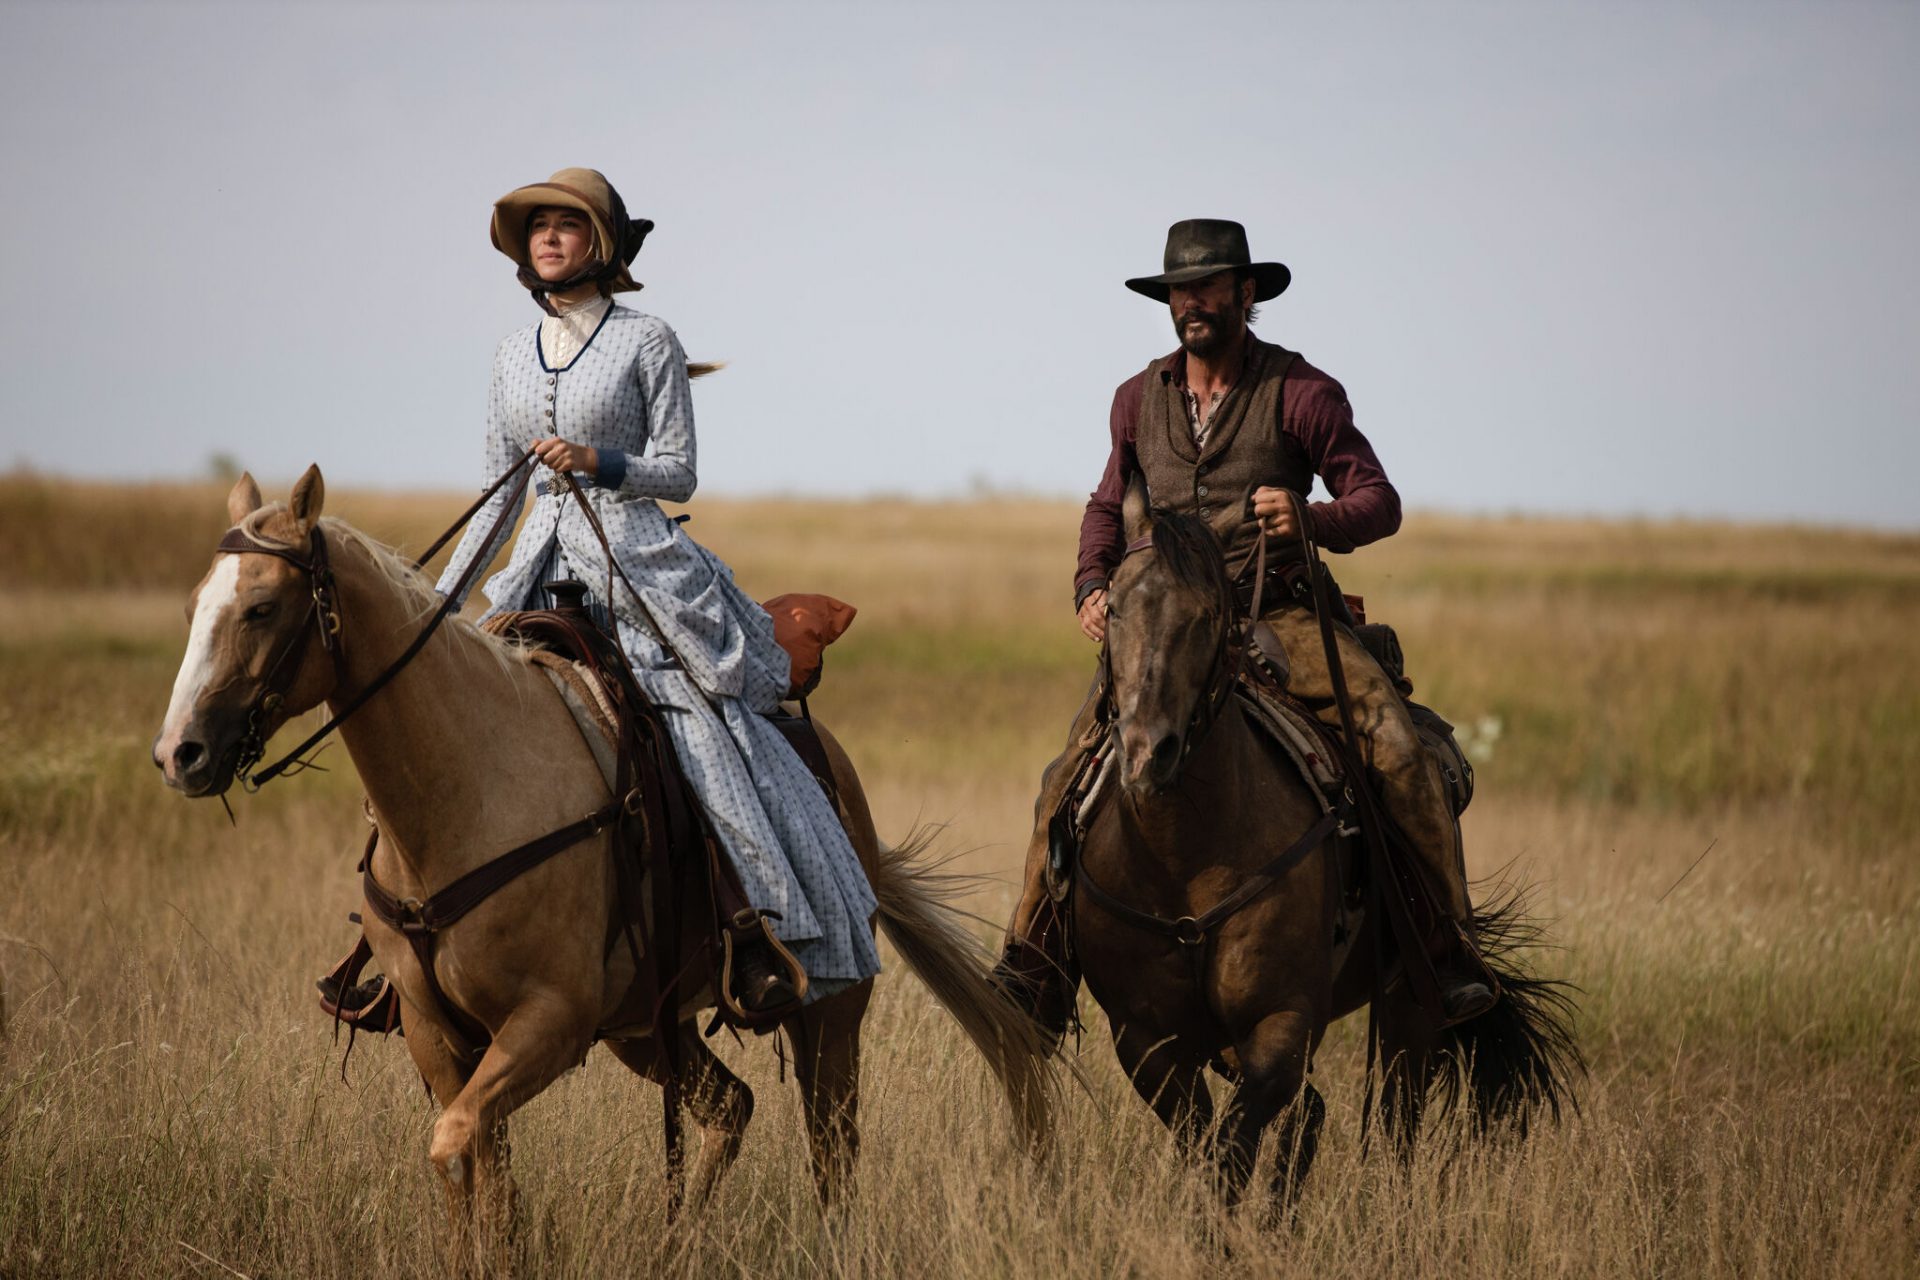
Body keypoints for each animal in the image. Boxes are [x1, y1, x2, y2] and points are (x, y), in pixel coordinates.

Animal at [153, 470, 1052, 1258]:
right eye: (195, 607)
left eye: (262, 607)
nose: (179, 754)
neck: (462, 795)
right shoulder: (437, 1035)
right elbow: (478, 1170)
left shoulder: (550, 1021)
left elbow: (455, 1146)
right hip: (649, 1027)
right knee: (732, 1107)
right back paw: (675, 1248)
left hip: (828, 1014)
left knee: (832, 1151)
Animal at [1067, 479, 1574, 1212]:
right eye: (1113, 611)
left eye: (1207, 617)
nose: (1145, 753)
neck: (1179, 857)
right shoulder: (1149, 1042)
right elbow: (1208, 1146)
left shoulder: (1281, 1025)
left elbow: (1231, 1153)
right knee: (1314, 1116)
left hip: (1410, 1007)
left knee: (1392, 1126)